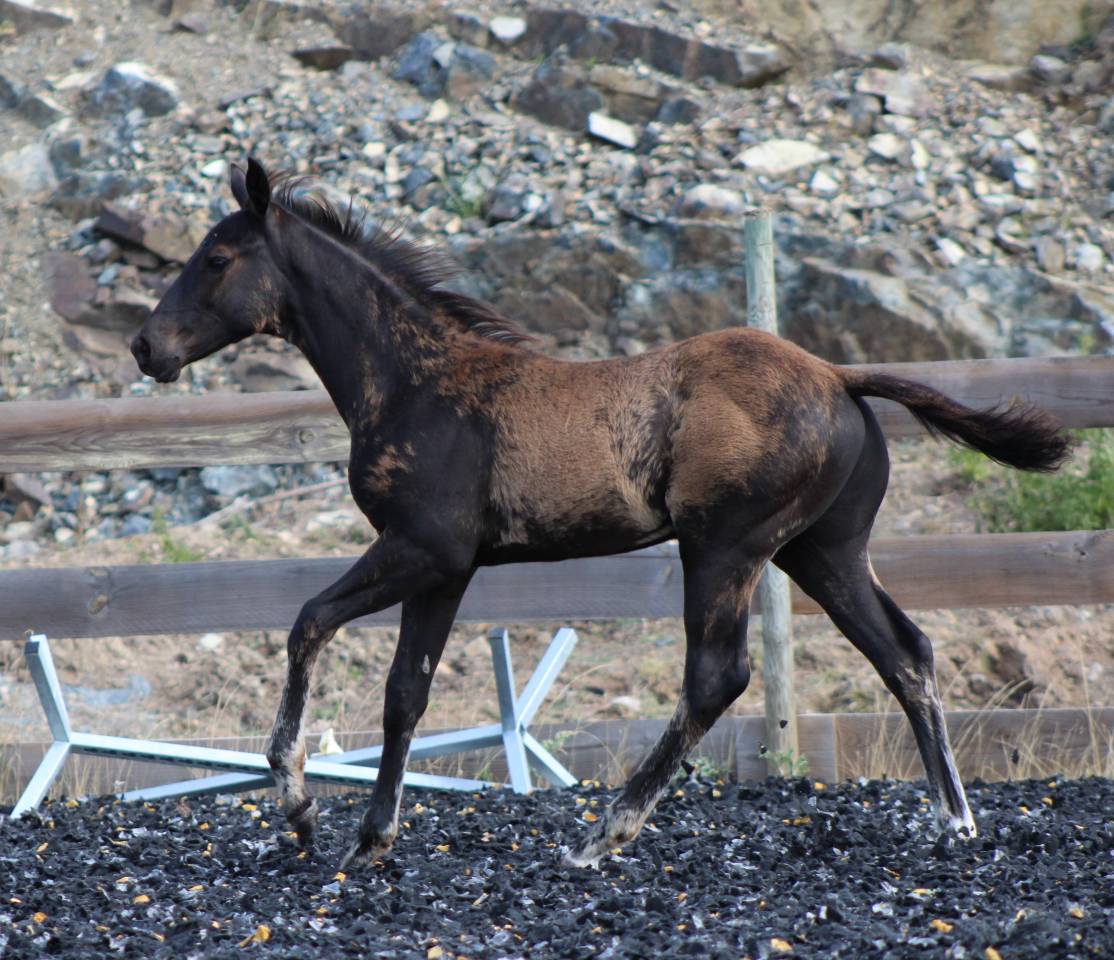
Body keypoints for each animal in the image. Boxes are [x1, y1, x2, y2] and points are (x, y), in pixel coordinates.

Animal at [131, 158, 1069, 870]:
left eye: (217, 258)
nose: (147, 346)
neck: (414, 382)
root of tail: (840, 377)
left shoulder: (420, 549)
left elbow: (307, 622)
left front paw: (296, 804)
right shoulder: (447, 570)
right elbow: (405, 695)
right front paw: (370, 841)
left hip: (724, 548)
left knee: (717, 677)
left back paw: (603, 834)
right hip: (820, 550)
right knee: (904, 653)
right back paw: (956, 821)